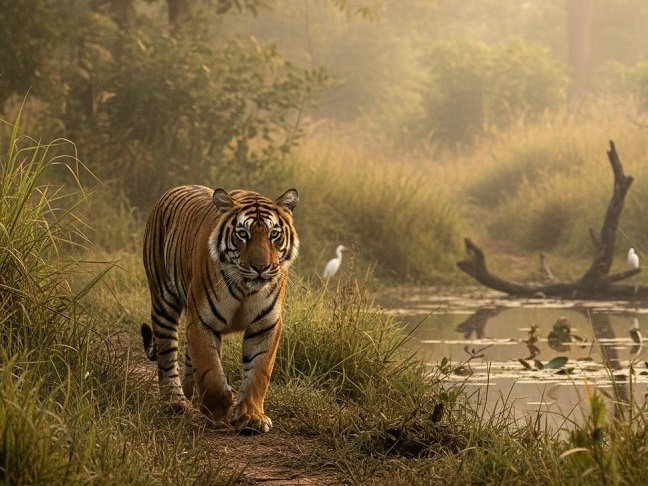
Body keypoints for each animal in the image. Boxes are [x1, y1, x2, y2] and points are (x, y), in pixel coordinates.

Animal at [140, 185, 299, 434]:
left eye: (274, 234)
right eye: (243, 234)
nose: (261, 267)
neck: (245, 289)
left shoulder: (266, 324)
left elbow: (258, 372)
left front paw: (252, 417)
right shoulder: (201, 319)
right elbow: (210, 371)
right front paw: (218, 410)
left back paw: (189, 394)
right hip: (163, 299)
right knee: (167, 354)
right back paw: (175, 402)